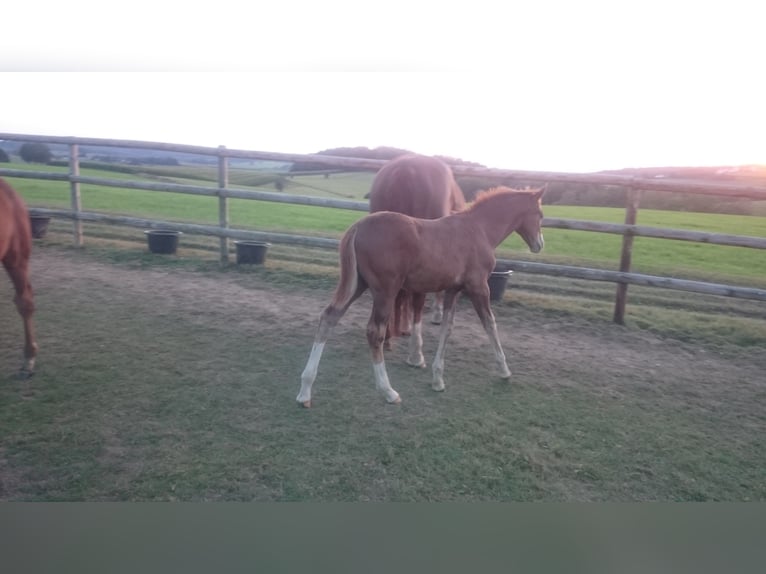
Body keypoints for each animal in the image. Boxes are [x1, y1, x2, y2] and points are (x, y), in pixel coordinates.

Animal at [298, 187, 544, 408]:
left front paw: (438, 379)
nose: (539, 245)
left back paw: (305, 391)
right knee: (374, 332)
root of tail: (358, 227)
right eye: (540, 215)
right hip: (385, 290)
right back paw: (388, 391)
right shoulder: (478, 286)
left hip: (358, 284)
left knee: (329, 317)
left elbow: (447, 328)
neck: (479, 229)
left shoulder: (453, 290)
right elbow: (490, 324)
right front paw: (504, 370)